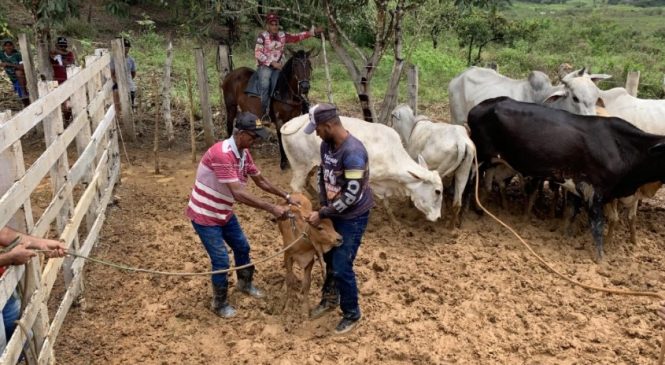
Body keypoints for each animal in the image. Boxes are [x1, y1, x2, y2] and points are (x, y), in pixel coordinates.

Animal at [278, 114, 444, 222]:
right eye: (437, 191)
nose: (437, 217)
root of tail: (290, 124)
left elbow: (386, 203)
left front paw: (394, 222)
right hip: (300, 166)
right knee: (296, 186)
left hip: (312, 166)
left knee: (306, 183)